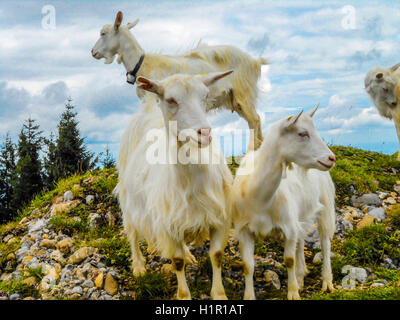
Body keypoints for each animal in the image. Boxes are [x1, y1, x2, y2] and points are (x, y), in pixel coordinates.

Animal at [92, 11, 268, 151]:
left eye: (103, 33)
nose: (93, 52)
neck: (143, 64)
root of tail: (255, 62)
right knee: (255, 120)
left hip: (244, 93)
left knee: (254, 120)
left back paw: (252, 150)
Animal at [114, 70, 233, 300]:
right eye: (170, 100)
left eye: (205, 96)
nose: (205, 133)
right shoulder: (166, 226)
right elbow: (176, 262)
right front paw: (184, 295)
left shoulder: (218, 217)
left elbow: (216, 255)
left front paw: (219, 294)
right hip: (128, 200)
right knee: (132, 232)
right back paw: (139, 266)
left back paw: (187, 254)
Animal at [231, 105, 338, 300]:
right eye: (303, 133)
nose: (331, 158)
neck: (260, 198)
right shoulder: (243, 229)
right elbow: (247, 265)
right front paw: (249, 296)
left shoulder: (288, 226)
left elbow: (289, 260)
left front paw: (293, 292)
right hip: (301, 213)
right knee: (301, 239)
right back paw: (301, 276)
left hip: (326, 205)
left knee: (325, 242)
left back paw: (326, 282)